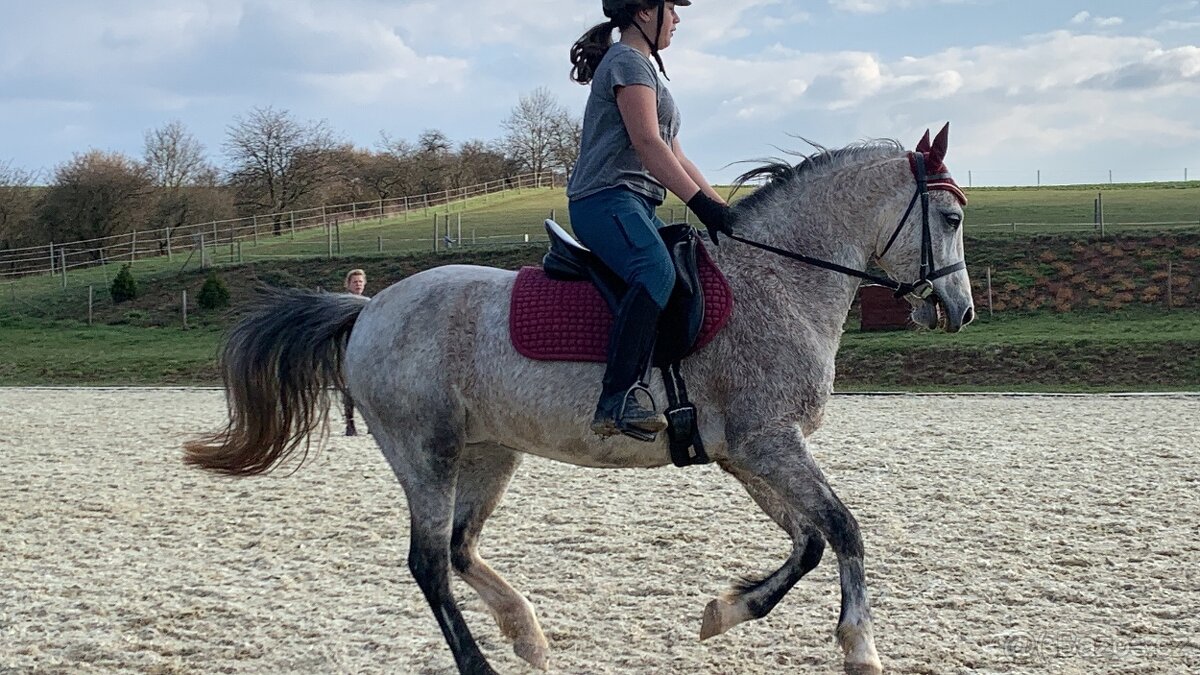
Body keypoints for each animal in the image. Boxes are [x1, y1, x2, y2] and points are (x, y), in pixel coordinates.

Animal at [184, 124, 974, 675]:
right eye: (953, 220)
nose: (961, 310)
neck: (776, 279)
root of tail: (371, 306)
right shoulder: (767, 443)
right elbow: (843, 529)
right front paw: (860, 647)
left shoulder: (749, 453)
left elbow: (808, 539)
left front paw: (723, 612)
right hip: (425, 452)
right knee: (430, 562)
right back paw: (483, 659)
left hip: (488, 452)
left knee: (462, 549)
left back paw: (527, 634)